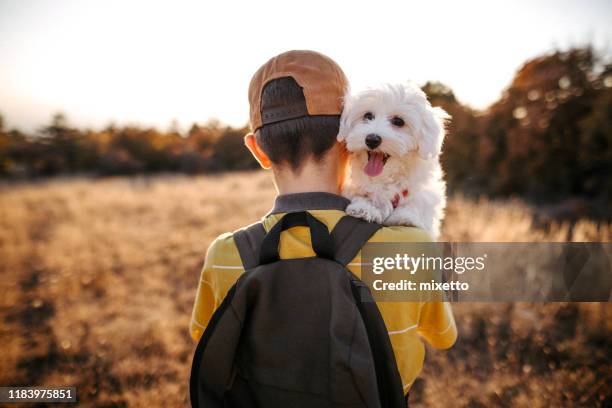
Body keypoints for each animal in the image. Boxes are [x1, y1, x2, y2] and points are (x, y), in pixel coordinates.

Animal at [340, 82, 450, 239]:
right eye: (368, 115)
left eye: (398, 121)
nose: (372, 139)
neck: (385, 178)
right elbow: (363, 195)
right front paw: (365, 208)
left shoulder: (424, 195)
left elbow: (417, 204)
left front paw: (405, 216)